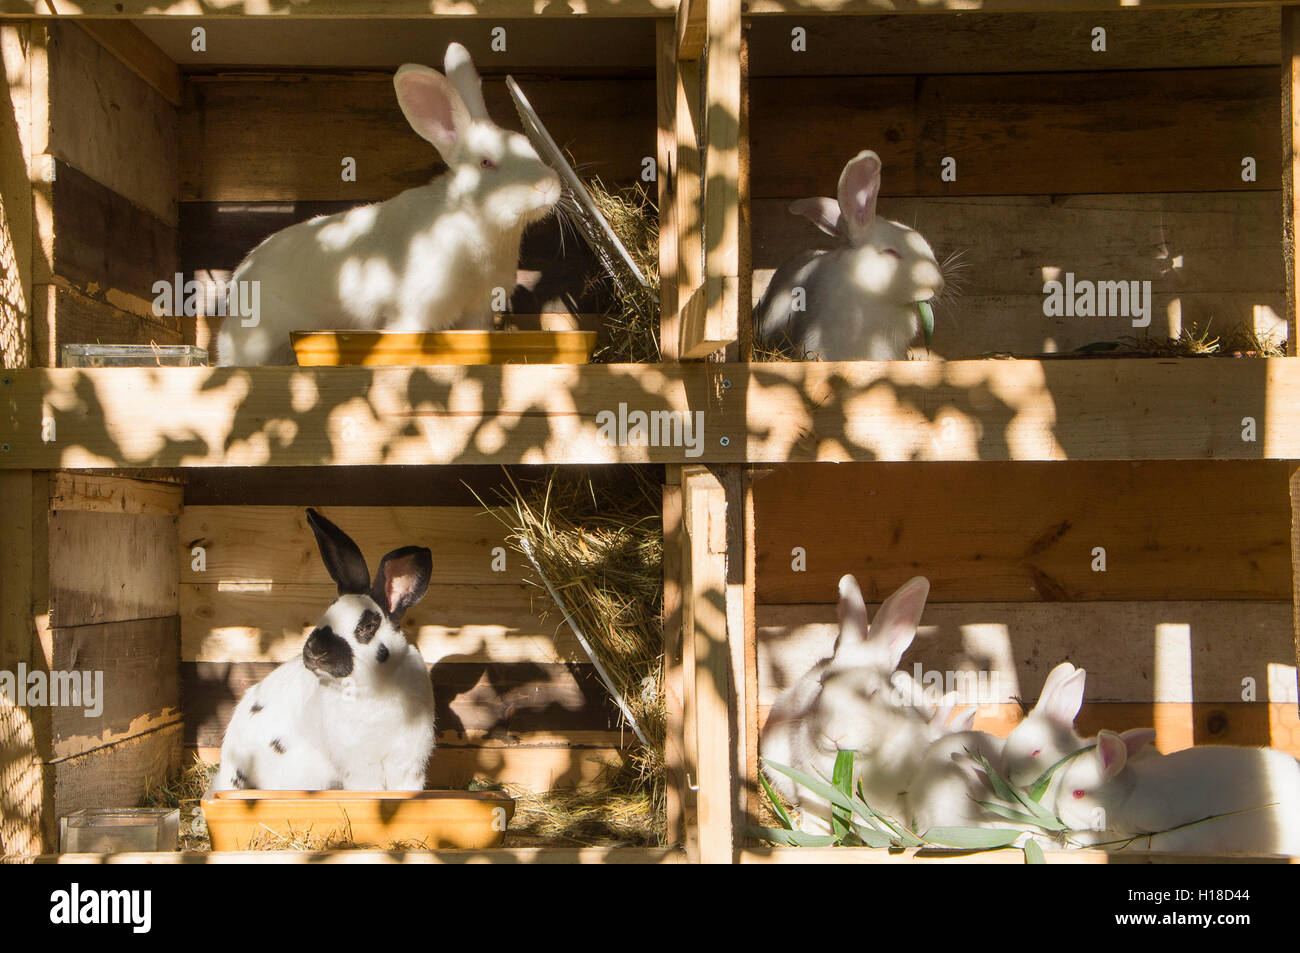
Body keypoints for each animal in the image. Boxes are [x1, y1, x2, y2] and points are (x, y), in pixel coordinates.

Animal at [209, 508, 436, 793]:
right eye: (327, 611)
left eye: (367, 626)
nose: (316, 651)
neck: (375, 687)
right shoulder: (361, 768)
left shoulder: (408, 765)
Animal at [216, 42, 562, 366]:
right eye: (487, 163)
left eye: (526, 143)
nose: (548, 186)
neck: (478, 225)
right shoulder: (415, 310)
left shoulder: (478, 310)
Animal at [761, 574, 934, 834]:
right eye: (822, 684)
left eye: (872, 692)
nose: (835, 736)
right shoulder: (809, 784)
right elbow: (816, 812)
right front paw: (811, 830)